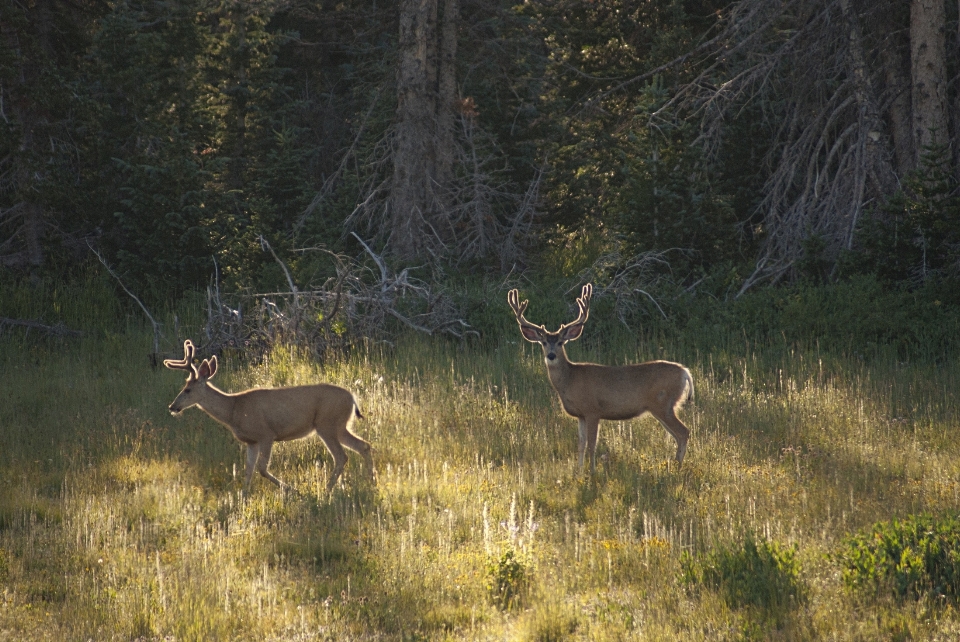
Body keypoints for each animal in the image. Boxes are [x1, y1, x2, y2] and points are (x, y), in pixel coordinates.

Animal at [165, 340, 376, 496]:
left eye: (187, 389)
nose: (172, 407)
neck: (233, 410)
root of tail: (353, 398)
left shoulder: (266, 434)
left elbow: (262, 469)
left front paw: (293, 490)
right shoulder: (251, 441)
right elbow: (248, 470)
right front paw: (243, 497)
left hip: (327, 424)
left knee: (341, 456)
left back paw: (327, 491)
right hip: (340, 426)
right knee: (363, 446)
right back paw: (371, 482)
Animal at [506, 284, 692, 470]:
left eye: (560, 342)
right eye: (543, 342)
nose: (551, 355)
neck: (569, 380)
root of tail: (685, 372)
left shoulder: (592, 410)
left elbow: (592, 444)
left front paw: (592, 471)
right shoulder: (580, 414)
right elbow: (580, 444)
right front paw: (579, 470)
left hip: (663, 403)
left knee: (683, 432)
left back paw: (677, 467)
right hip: (663, 407)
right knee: (678, 434)